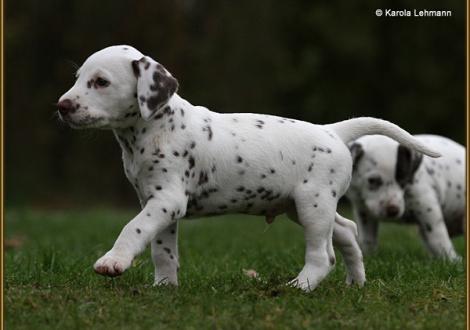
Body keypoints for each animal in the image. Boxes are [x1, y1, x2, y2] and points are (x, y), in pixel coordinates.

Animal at [56, 45, 440, 292]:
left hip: (313, 205)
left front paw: (113, 261)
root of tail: (333, 130)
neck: (154, 127)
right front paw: (164, 286)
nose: (62, 106)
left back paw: (300, 286)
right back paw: (356, 282)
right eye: (77, 77)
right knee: (347, 230)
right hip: (304, 206)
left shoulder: (166, 201)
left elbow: (132, 229)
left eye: (101, 82)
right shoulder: (155, 203)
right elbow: (161, 250)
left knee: (322, 255)